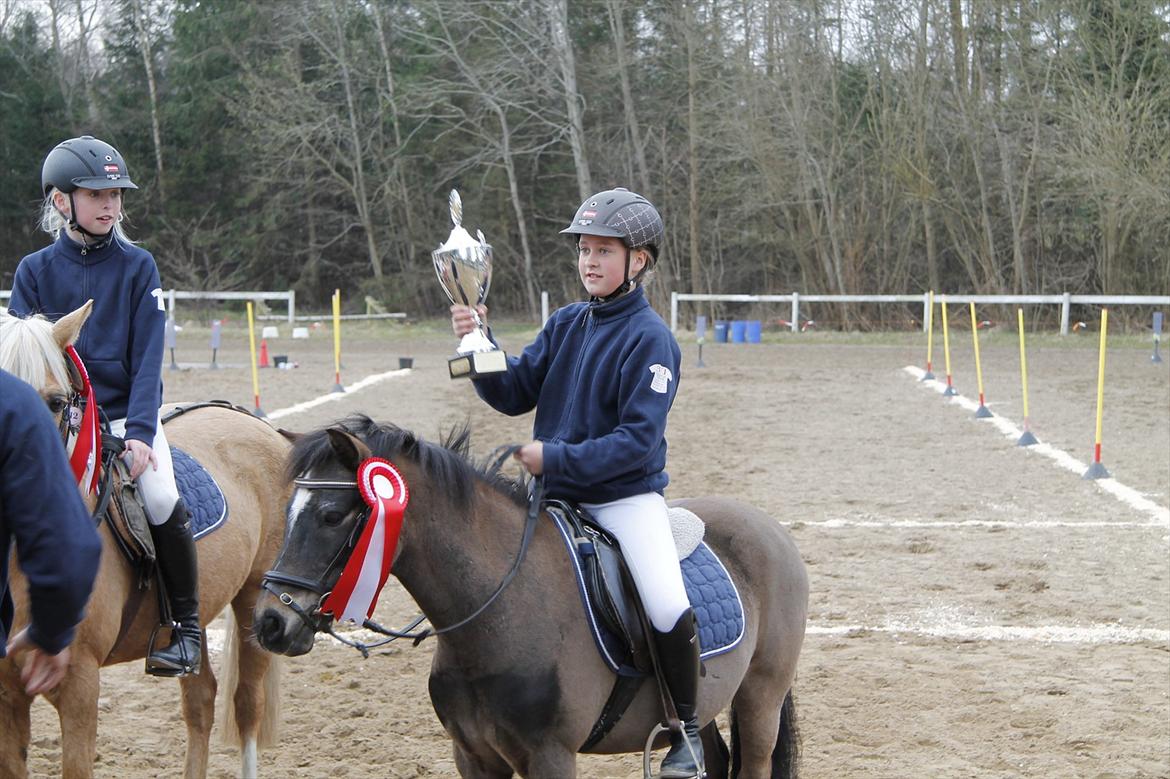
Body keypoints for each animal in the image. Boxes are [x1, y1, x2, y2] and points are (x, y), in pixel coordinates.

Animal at [0, 302, 290, 779]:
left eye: (56, 402)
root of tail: (253, 420)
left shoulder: (80, 684)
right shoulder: (7, 693)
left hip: (254, 601)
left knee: (247, 704)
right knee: (201, 699)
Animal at [254, 415, 809, 778]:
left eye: (331, 516)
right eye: (286, 511)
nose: (270, 624)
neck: (496, 610)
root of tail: (768, 528)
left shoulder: (550, 756)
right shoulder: (474, 757)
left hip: (759, 700)